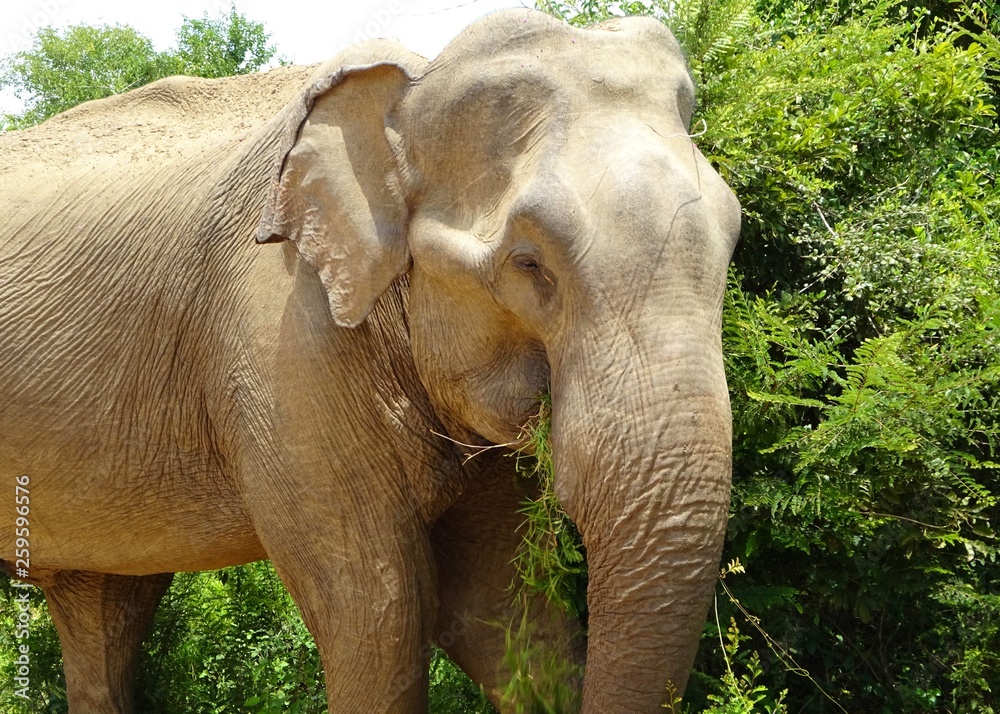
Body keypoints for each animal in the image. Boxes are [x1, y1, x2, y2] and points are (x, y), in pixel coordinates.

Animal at [0, 8, 740, 713]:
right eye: (529, 264)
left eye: (732, 235)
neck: (409, 91)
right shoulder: (281, 346)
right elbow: (379, 614)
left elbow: (502, 618)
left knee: (101, 607)